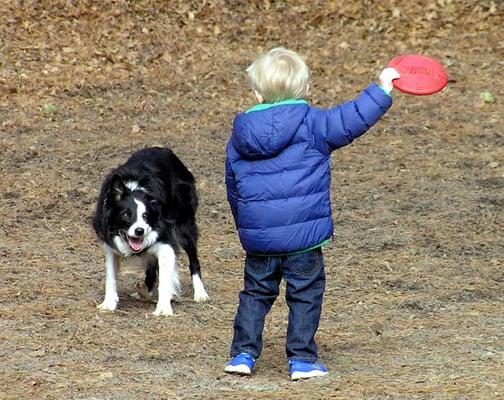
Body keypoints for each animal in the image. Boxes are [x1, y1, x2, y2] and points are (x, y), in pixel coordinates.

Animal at [92, 146, 209, 316]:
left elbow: (165, 279)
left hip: (185, 226)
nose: (139, 231)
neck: (134, 189)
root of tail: (165, 149)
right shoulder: (110, 246)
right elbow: (110, 276)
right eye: (126, 215)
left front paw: (164, 308)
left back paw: (200, 293)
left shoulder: (166, 243)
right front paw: (108, 303)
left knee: (194, 261)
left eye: (145, 215)